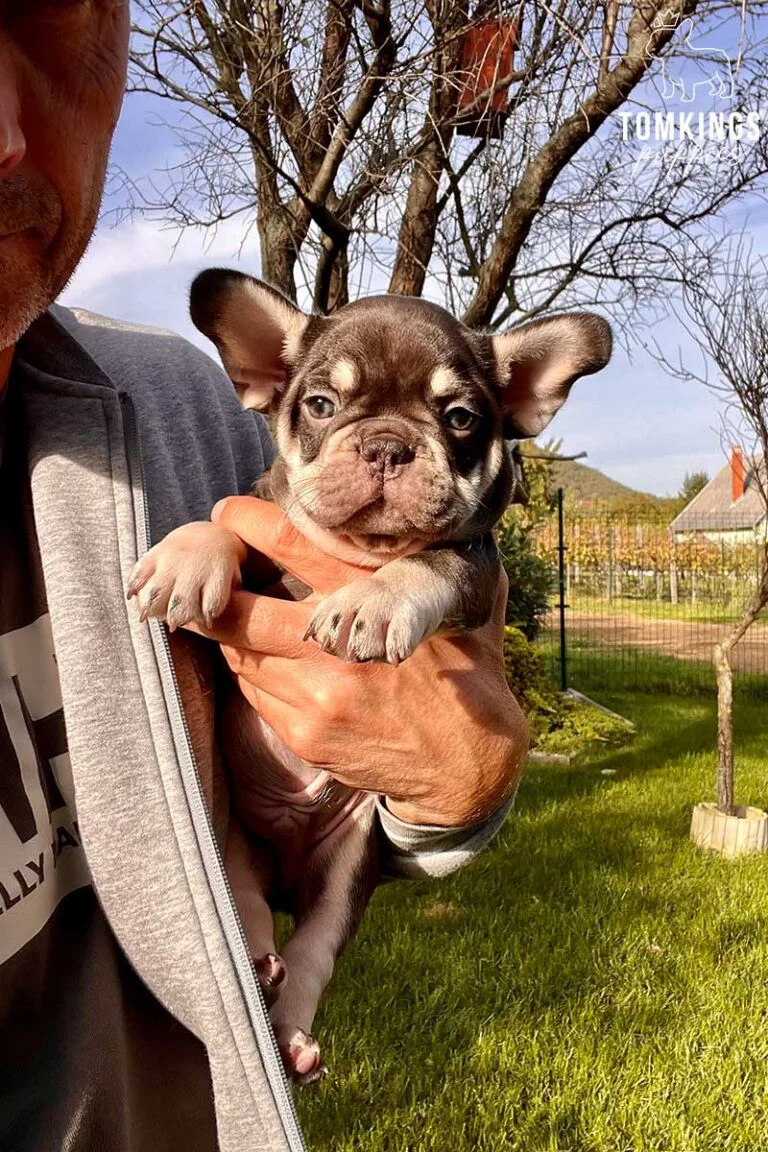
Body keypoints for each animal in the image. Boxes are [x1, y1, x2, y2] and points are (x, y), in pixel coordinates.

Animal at [130, 274, 612, 1082]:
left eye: (459, 418)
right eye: (323, 404)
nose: (388, 445)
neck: (358, 549)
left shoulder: (476, 567)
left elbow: (428, 561)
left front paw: (374, 602)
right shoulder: (263, 516)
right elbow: (227, 519)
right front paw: (185, 556)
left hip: (348, 867)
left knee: (312, 951)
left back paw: (291, 1034)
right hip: (233, 844)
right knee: (249, 913)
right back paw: (258, 966)